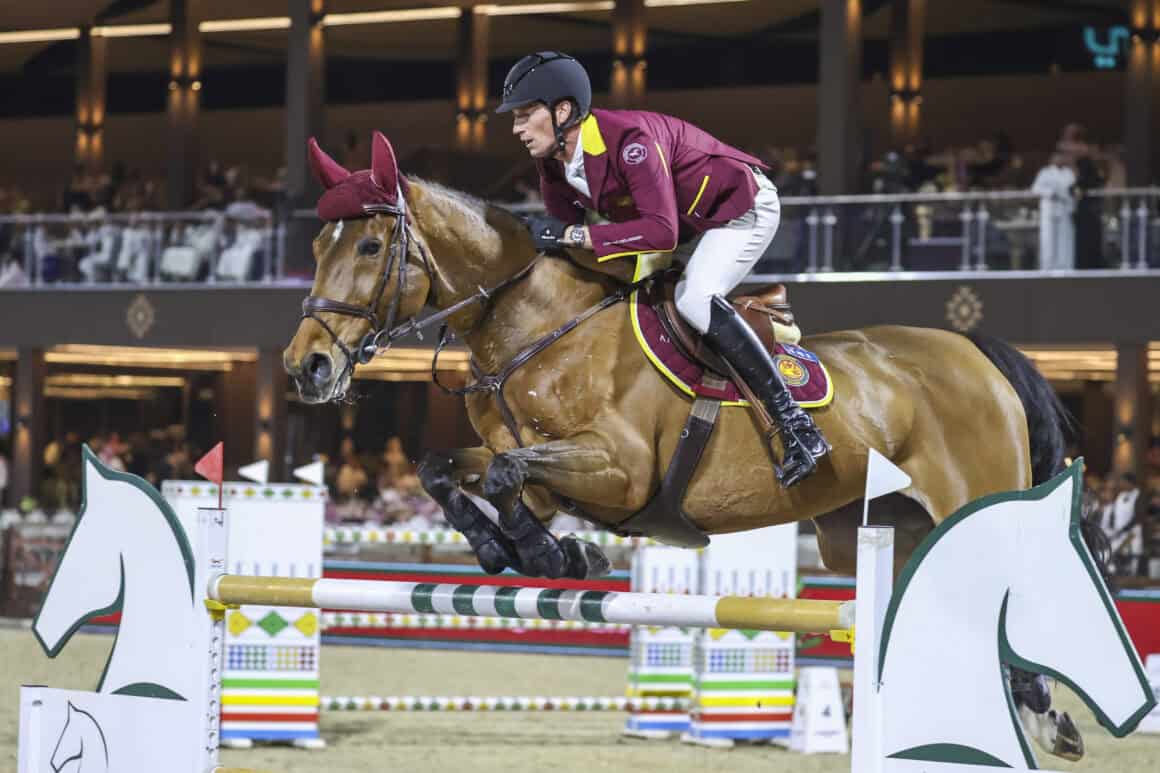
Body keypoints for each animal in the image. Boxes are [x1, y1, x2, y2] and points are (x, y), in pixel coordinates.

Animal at [280, 132, 1104, 756]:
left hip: (974, 504)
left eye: (373, 244)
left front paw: (552, 554)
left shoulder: (621, 470)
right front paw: (525, 552)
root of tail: (976, 353)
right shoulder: (536, 468)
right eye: (318, 242)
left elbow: (512, 474)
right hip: (879, 530)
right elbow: (449, 470)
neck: (533, 327)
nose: (305, 366)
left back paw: (1047, 717)